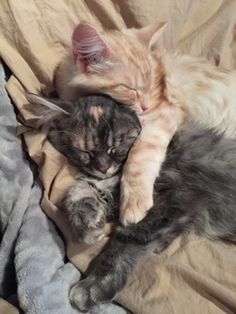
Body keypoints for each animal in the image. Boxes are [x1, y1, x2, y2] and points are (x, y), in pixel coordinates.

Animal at [28, 91, 236, 312]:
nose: (103, 168)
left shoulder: (174, 198)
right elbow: (78, 190)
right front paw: (88, 225)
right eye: (86, 152)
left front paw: (94, 286)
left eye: (114, 148)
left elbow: (127, 242)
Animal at [55, 23, 236, 227]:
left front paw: (133, 203)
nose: (146, 106)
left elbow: (138, 158)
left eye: (150, 85)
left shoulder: (163, 115)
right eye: (129, 89)